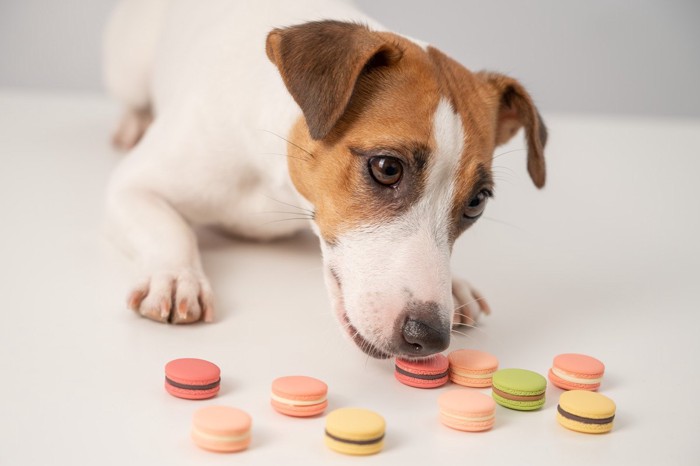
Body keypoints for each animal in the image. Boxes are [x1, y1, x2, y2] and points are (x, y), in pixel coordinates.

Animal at [105, 0, 548, 360]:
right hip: (126, 64)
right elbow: (169, 228)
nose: (430, 336)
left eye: (477, 201)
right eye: (387, 168)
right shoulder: (132, 187)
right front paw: (176, 277)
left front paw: (454, 283)